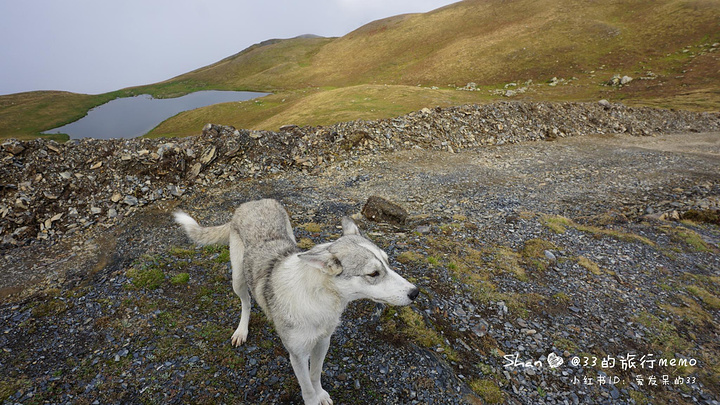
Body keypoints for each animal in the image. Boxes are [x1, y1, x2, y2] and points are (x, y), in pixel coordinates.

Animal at [174, 199, 420, 404]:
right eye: (373, 274)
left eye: (388, 262)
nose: (415, 292)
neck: (320, 300)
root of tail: (252, 202)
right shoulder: (298, 355)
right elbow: (307, 387)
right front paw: (313, 399)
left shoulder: (322, 342)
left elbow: (316, 375)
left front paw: (321, 395)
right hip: (238, 280)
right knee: (246, 303)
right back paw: (242, 330)